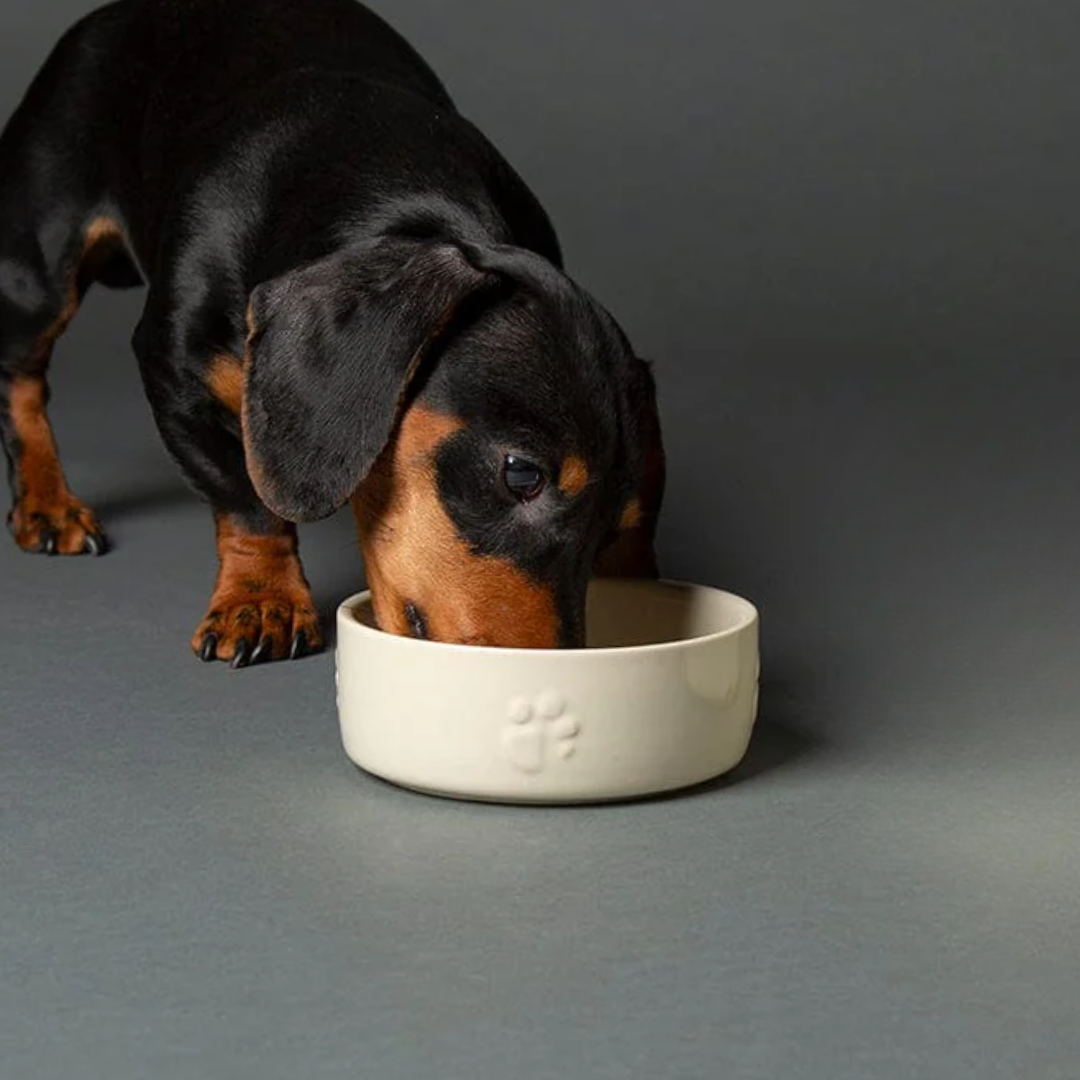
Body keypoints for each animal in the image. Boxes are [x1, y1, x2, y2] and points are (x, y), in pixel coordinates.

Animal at [0, 0, 660, 665]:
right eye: (521, 474)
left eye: (615, 526)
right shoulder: (176, 374)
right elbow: (246, 499)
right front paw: (261, 600)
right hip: (39, 271)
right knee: (21, 380)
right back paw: (47, 505)